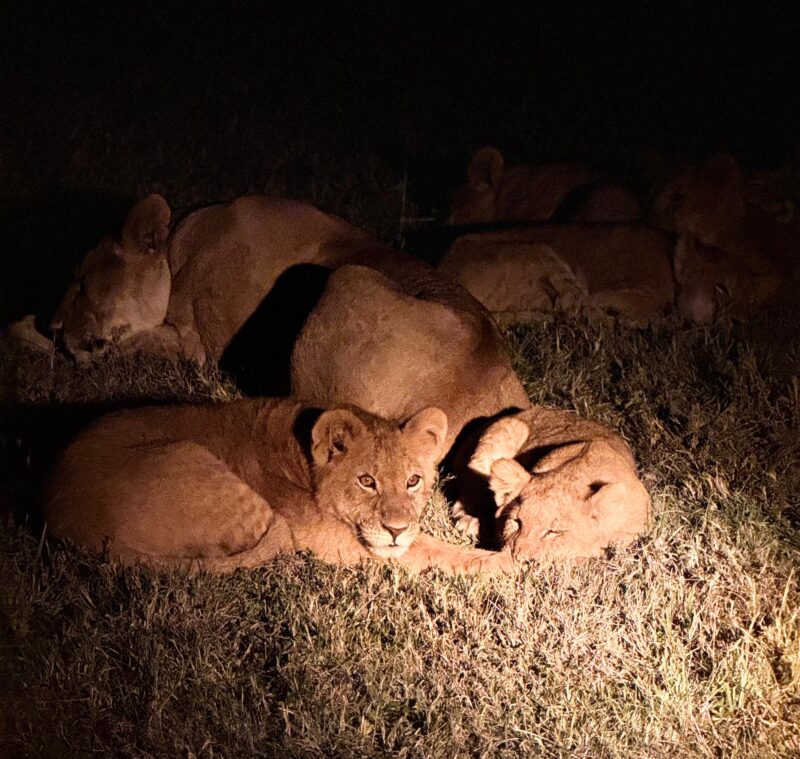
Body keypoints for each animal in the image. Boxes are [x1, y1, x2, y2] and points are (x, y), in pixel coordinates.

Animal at [44, 397, 514, 574]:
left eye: (414, 481)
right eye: (367, 481)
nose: (397, 529)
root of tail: (60, 516)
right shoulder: (334, 544)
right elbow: (433, 551)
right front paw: (505, 565)